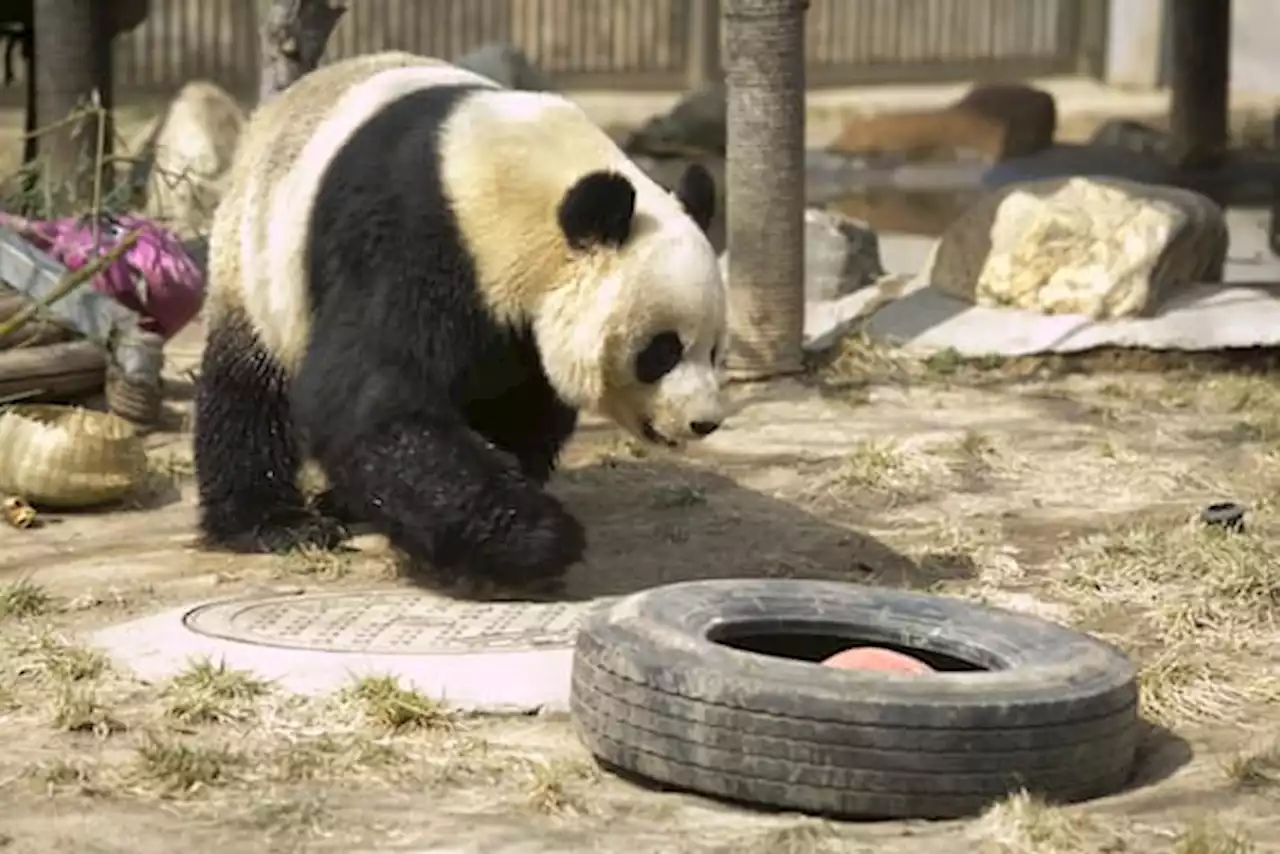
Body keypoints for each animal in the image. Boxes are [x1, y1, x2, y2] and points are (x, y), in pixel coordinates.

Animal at [192, 51, 732, 588]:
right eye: (661, 351)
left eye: (714, 349)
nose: (703, 421)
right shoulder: (412, 239)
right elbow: (369, 399)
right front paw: (539, 538)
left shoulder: (520, 333)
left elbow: (526, 408)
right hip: (255, 264)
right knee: (247, 392)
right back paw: (273, 520)